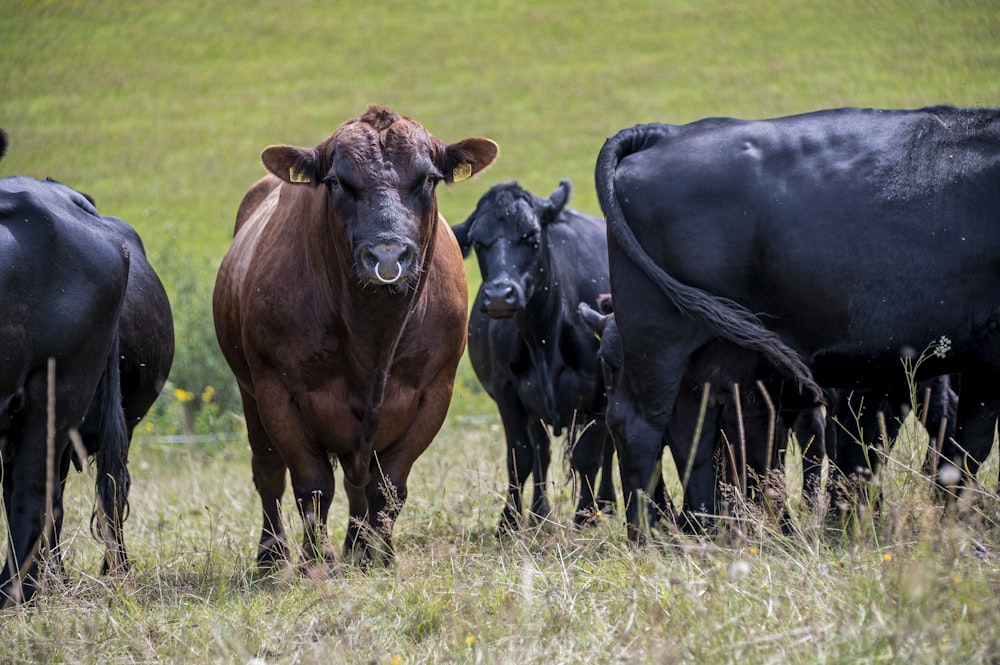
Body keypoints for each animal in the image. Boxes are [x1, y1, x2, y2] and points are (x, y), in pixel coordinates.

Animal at [214, 106, 496, 568]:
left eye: (428, 179)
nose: (387, 255)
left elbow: (388, 487)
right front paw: (315, 559)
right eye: (337, 182)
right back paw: (272, 554)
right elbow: (311, 486)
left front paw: (382, 557)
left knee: (356, 481)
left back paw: (358, 546)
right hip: (248, 390)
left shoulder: (434, 392)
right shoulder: (278, 392)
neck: (373, 334)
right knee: (269, 472)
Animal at [452, 182, 612, 528]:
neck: (542, 337)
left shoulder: (603, 390)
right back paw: (540, 515)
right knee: (542, 450)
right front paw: (509, 522)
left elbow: (588, 455)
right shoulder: (507, 389)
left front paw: (585, 517)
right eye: (478, 243)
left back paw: (606, 505)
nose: (500, 295)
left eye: (533, 238)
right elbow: (521, 455)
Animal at [596, 105, 1000, 540]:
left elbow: (966, 446)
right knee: (638, 424)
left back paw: (707, 531)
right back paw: (652, 537)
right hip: (658, 336)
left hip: (709, 352)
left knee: (694, 430)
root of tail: (666, 132)